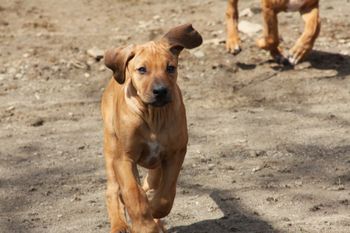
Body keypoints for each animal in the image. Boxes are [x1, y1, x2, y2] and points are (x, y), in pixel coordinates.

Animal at [101, 24, 202, 233]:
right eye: (142, 69)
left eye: (170, 68)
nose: (161, 91)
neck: (153, 116)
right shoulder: (123, 158)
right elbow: (132, 192)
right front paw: (145, 225)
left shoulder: (176, 152)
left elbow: (166, 193)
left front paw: (155, 211)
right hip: (110, 147)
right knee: (113, 189)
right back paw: (119, 224)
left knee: (152, 182)